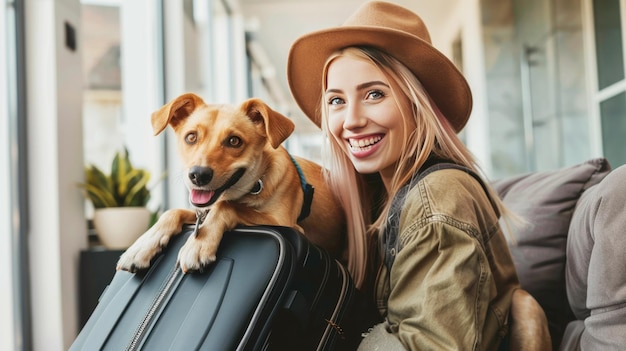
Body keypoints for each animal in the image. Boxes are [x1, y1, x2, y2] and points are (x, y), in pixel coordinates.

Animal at [114, 93, 344, 272]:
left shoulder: (286, 223)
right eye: (191, 137)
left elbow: (227, 206)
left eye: (234, 141)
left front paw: (199, 245)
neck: (255, 184)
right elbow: (172, 212)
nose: (198, 175)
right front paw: (141, 246)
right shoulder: (201, 210)